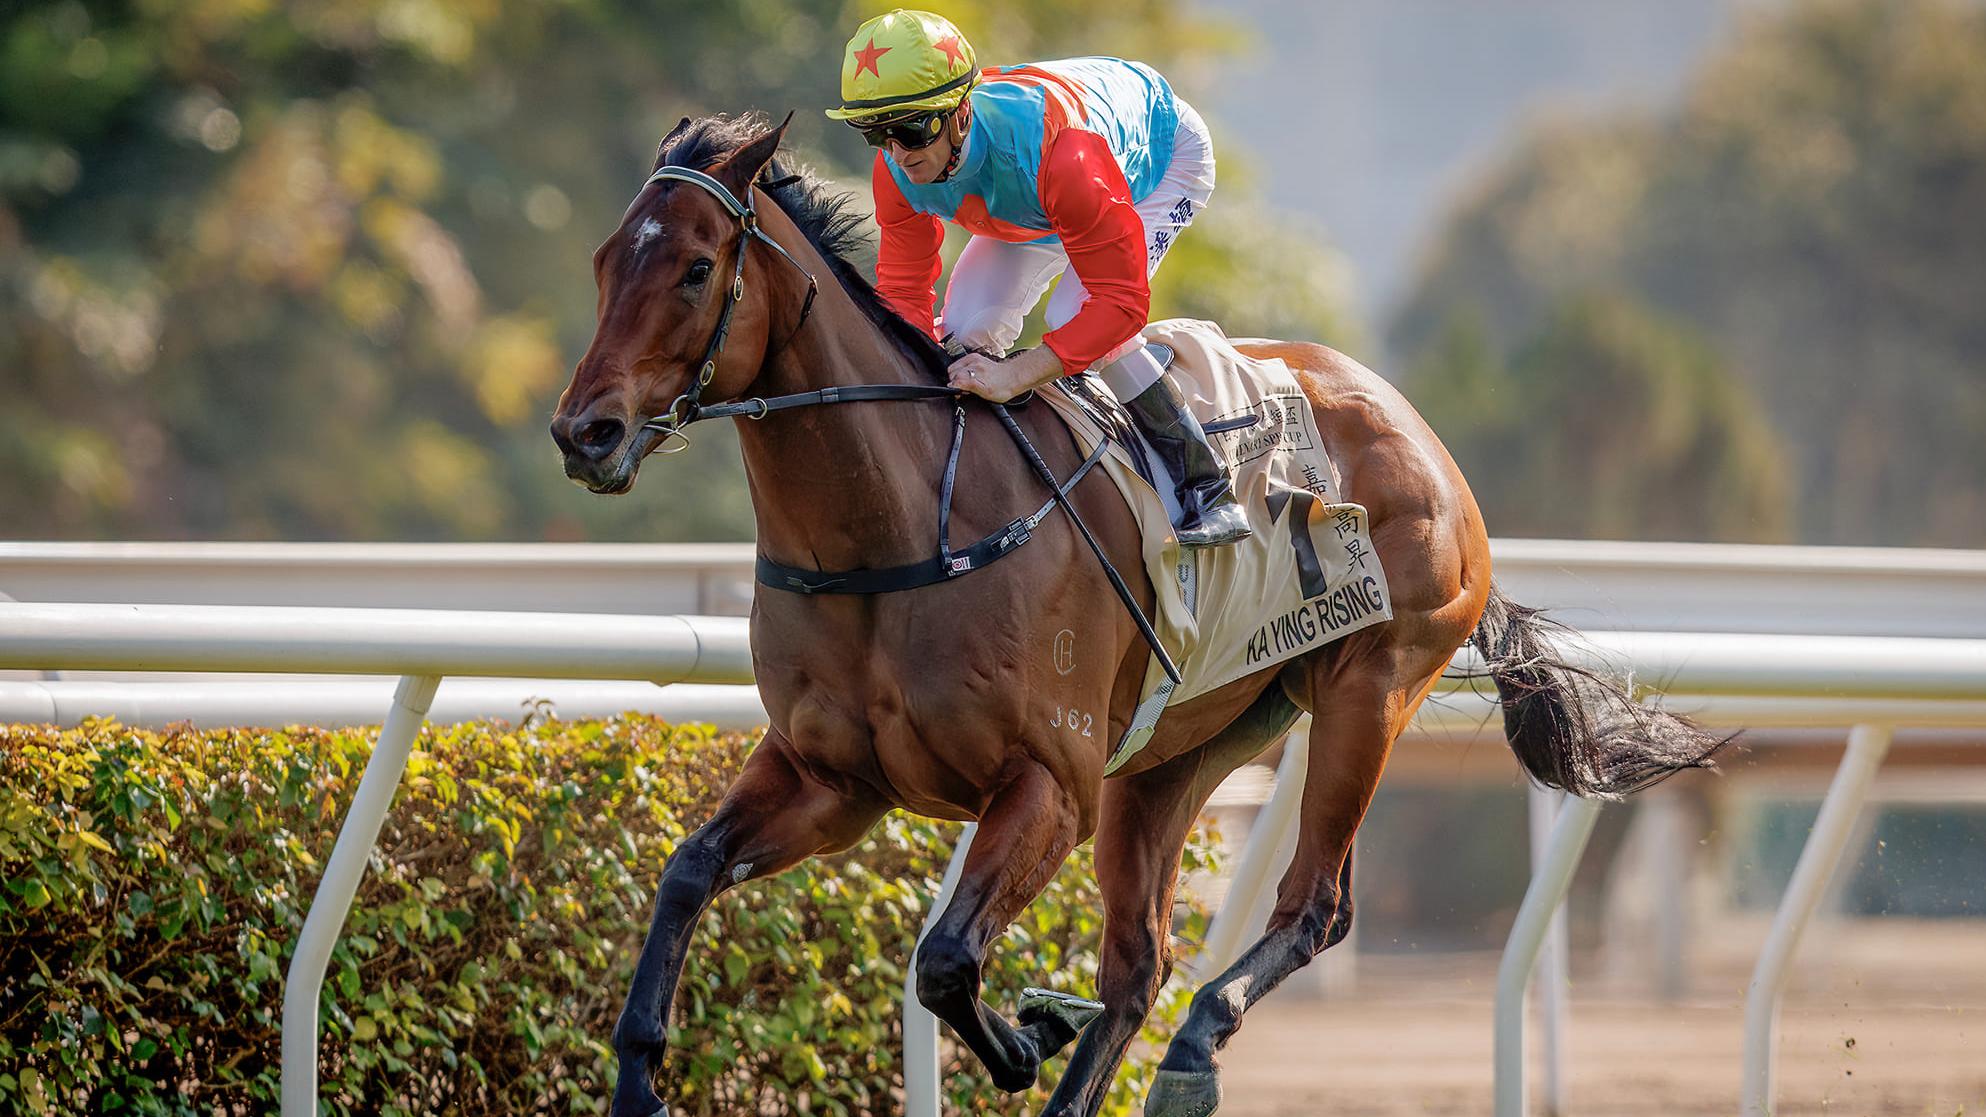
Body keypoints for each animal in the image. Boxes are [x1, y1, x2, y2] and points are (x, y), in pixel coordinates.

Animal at [548, 113, 1721, 1117]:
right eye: (603, 263)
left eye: (697, 267)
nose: (583, 432)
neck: (899, 531)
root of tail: (1418, 433)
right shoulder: (833, 780)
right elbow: (688, 869)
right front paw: (638, 1075)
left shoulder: (1049, 783)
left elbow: (945, 961)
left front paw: (1028, 1032)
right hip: (1180, 752)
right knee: (1140, 960)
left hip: (1368, 690)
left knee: (1311, 905)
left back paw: (1195, 1046)